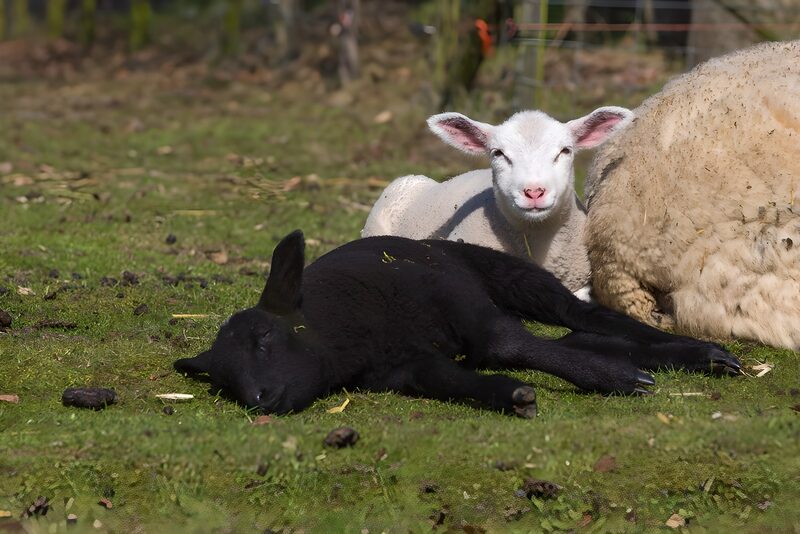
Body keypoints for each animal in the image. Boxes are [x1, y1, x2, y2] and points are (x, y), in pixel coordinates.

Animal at [174, 230, 741, 417]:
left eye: (265, 337)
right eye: (223, 382)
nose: (259, 401)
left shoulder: (462, 305)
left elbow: (508, 345)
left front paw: (616, 380)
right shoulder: (403, 368)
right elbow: (449, 379)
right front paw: (511, 396)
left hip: (510, 276)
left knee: (582, 316)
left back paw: (699, 354)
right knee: (580, 333)